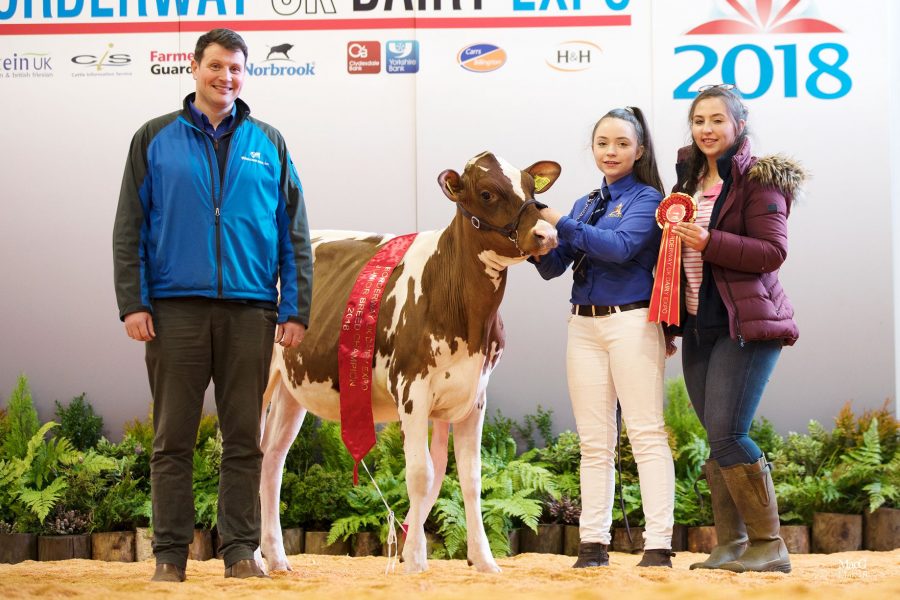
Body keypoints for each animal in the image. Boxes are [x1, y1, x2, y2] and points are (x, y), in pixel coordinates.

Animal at [257, 152, 561, 574]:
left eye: (532, 188)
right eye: (487, 192)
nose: (547, 235)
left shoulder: (474, 394)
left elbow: (470, 478)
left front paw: (483, 561)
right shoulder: (411, 389)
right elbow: (420, 475)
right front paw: (415, 560)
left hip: (291, 386)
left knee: (272, 459)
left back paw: (276, 558)